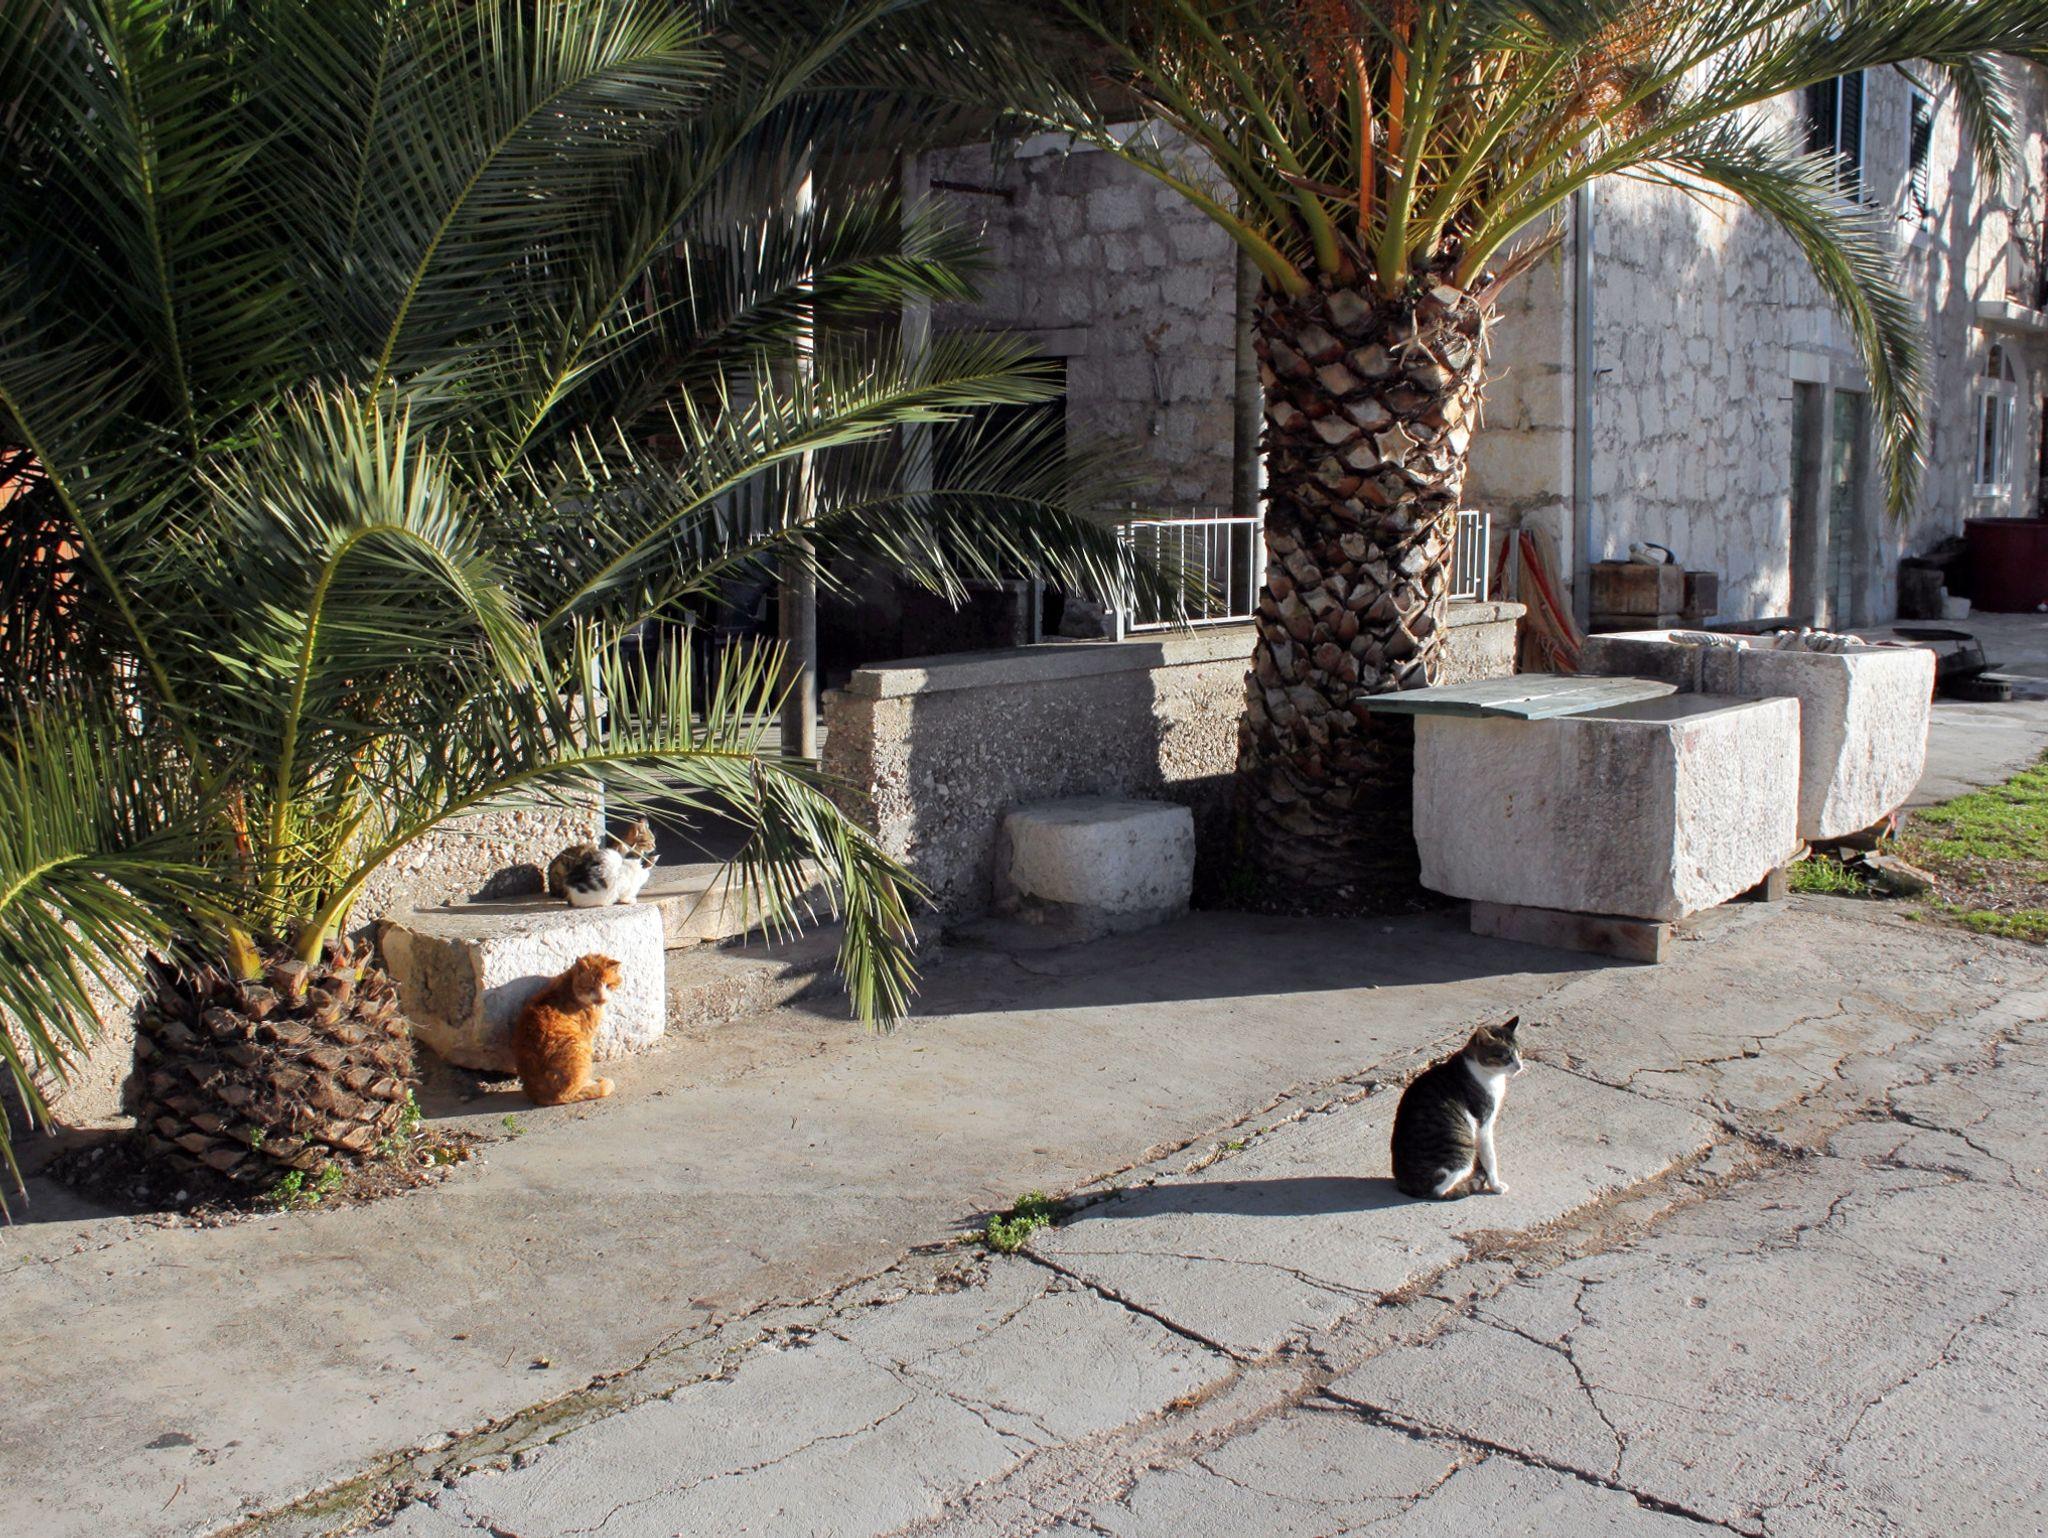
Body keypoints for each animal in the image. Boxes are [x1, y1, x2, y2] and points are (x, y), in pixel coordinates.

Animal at [511, 953, 622, 1106]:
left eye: (608, 985)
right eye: (591, 987)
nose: (601, 999)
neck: (570, 985)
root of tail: (539, 1096)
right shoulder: (588, 1035)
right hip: (579, 1047)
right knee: (569, 1094)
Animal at [1389, 1017, 1524, 1201]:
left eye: (1518, 1053)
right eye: (1507, 1057)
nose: (1519, 1067)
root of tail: (1409, 1186)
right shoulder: (1484, 1124)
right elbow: (1490, 1159)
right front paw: (1495, 1185)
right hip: (1462, 1154)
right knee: (1441, 1190)